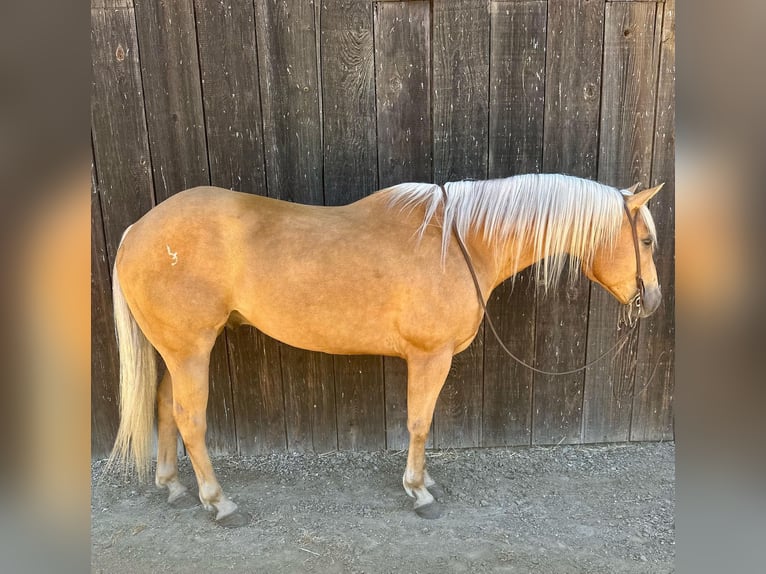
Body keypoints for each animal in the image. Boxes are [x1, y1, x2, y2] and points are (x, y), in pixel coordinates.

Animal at [108, 174, 664, 528]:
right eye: (647, 240)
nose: (653, 300)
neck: (459, 242)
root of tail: (137, 230)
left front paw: (426, 481)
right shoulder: (430, 356)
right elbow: (419, 421)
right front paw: (419, 491)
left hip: (175, 351)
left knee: (165, 409)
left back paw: (173, 486)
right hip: (190, 349)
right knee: (189, 418)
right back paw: (218, 502)